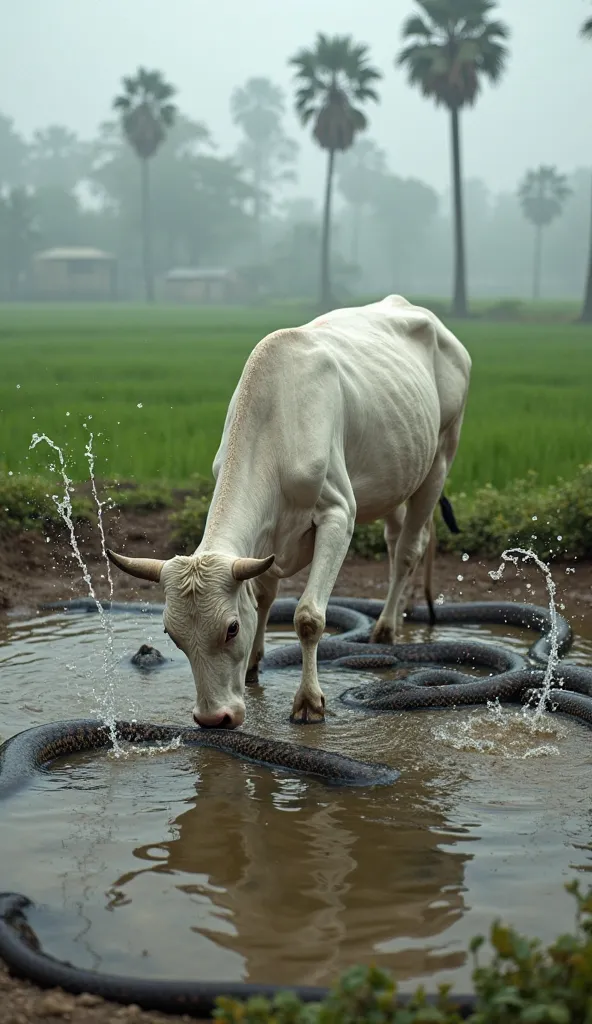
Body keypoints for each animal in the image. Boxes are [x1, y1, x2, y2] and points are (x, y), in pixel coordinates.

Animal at [107, 296, 471, 729]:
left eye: (231, 629)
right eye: (171, 634)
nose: (213, 718)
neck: (275, 428)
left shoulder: (339, 514)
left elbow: (308, 617)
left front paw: (309, 701)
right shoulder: (265, 538)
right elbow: (264, 596)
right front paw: (254, 667)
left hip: (441, 455)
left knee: (408, 551)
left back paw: (384, 629)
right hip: (397, 473)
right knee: (397, 537)